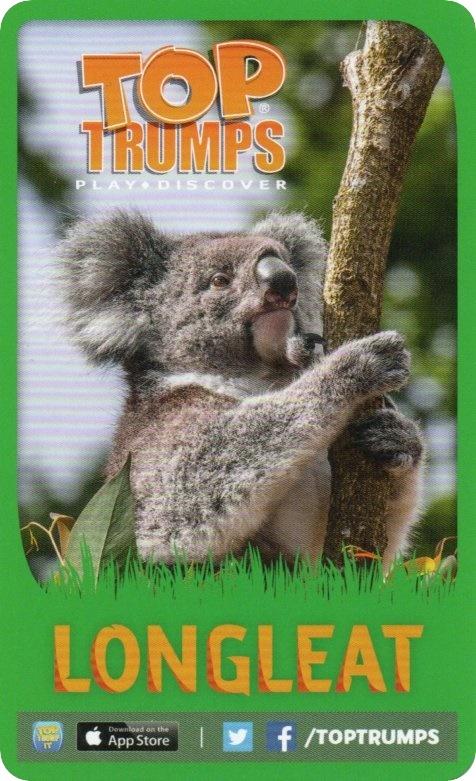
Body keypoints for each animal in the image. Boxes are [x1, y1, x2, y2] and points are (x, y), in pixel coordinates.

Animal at [59, 209, 424, 569]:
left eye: (288, 265)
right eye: (219, 280)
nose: (283, 282)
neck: (251, 380)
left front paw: (396, 436)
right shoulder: (157, 442)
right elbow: (173, 512)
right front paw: (356, 364)